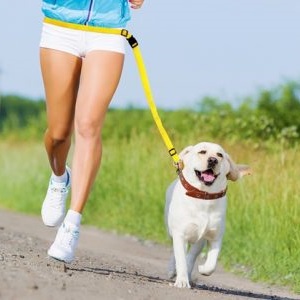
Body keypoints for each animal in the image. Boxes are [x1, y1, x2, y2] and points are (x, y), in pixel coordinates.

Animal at [165, 142, 250, 288]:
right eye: (202, 152)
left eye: (220, 155)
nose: (213, 160)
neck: (204, 197)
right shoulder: (180, 234)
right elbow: (180, 259)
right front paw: (182, 281)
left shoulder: (215, 237)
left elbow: (211, 264)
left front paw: (202, 269)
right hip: (172, 231)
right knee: (175, 254)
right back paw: (172, 271)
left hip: (200, 242)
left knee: (192, 255)